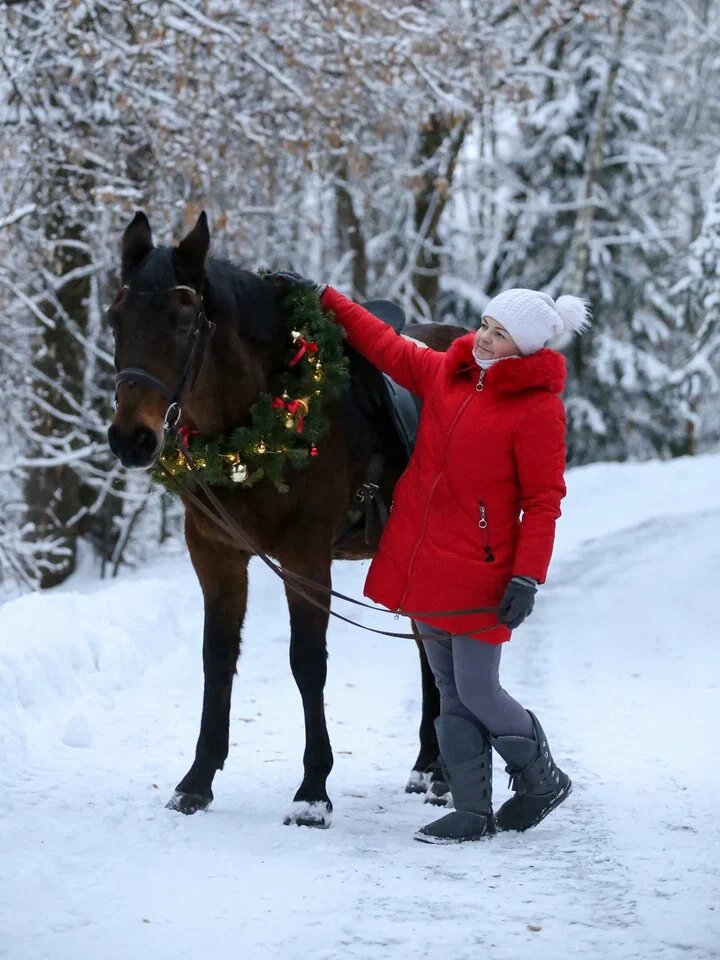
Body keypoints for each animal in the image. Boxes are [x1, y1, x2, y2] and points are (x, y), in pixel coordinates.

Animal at [107, 210, 466, 824]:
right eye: (115, 318)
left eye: (184, 323)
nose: (131, 438)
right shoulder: (216, 554)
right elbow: (217, 657)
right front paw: (197, 779)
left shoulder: (305, 557)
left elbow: (307, 663)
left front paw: (313, 791)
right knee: (427, 647)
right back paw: (427, 765)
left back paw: (440, 772)